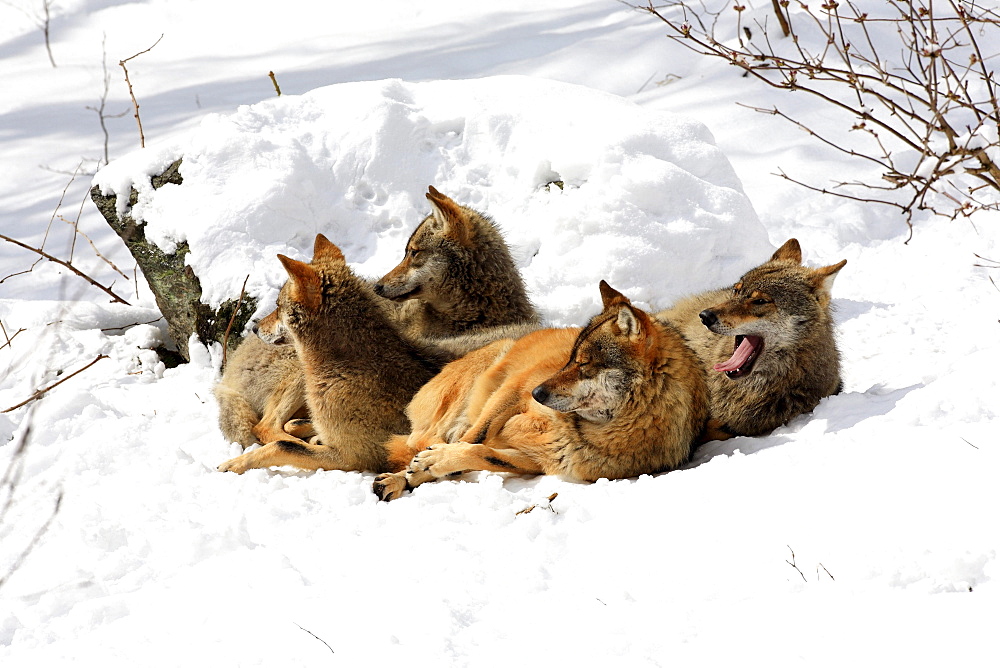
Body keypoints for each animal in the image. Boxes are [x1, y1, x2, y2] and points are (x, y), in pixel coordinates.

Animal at [213, 187, 540, 448]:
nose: (379, 287)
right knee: (265, 427)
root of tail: (227, 376)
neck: (475, 315)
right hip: (296, 372)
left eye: (413, 253)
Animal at [221, 235, 444, 474]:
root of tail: (226, 379)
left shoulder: (354, 458)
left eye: (278, 306)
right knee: (266, 426)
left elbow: (283, 446)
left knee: (268, 429)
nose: (254, 328)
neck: (345, 369)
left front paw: (234, 463)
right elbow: (290, 436)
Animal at [372, 280, 708, 500]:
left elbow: (482, 452)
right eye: (570, 358)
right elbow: (473, 438)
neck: (577, 428)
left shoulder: (536, 461)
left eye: (584, 364)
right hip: (488, 371)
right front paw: (415, 472)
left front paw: (436, 465)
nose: (537, 394)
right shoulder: (512, 390)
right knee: (423, 438)